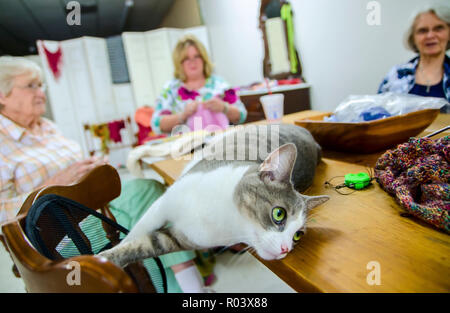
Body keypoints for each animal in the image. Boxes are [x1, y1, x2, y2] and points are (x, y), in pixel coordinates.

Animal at [98, 124, 328, 266]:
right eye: (279, 214)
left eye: (298, 235)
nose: (285, 249)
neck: (221, 216)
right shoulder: (163, 205)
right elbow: (138, 231)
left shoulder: (185, 237)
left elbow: (146, 245)